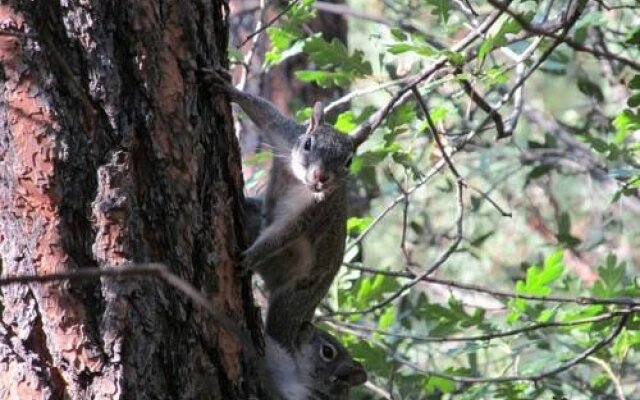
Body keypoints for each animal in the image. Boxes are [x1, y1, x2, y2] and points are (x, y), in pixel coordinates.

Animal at [206, 70, 358, 352]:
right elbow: (265, 114)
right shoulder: (285, 135)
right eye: (308, 143)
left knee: (282, 329)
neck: (299, 181)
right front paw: (228, 89)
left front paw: (249, 257)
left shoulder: (313, 210)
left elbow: (284, 233)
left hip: (293, 299)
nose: (321, 177)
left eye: (349, 161)